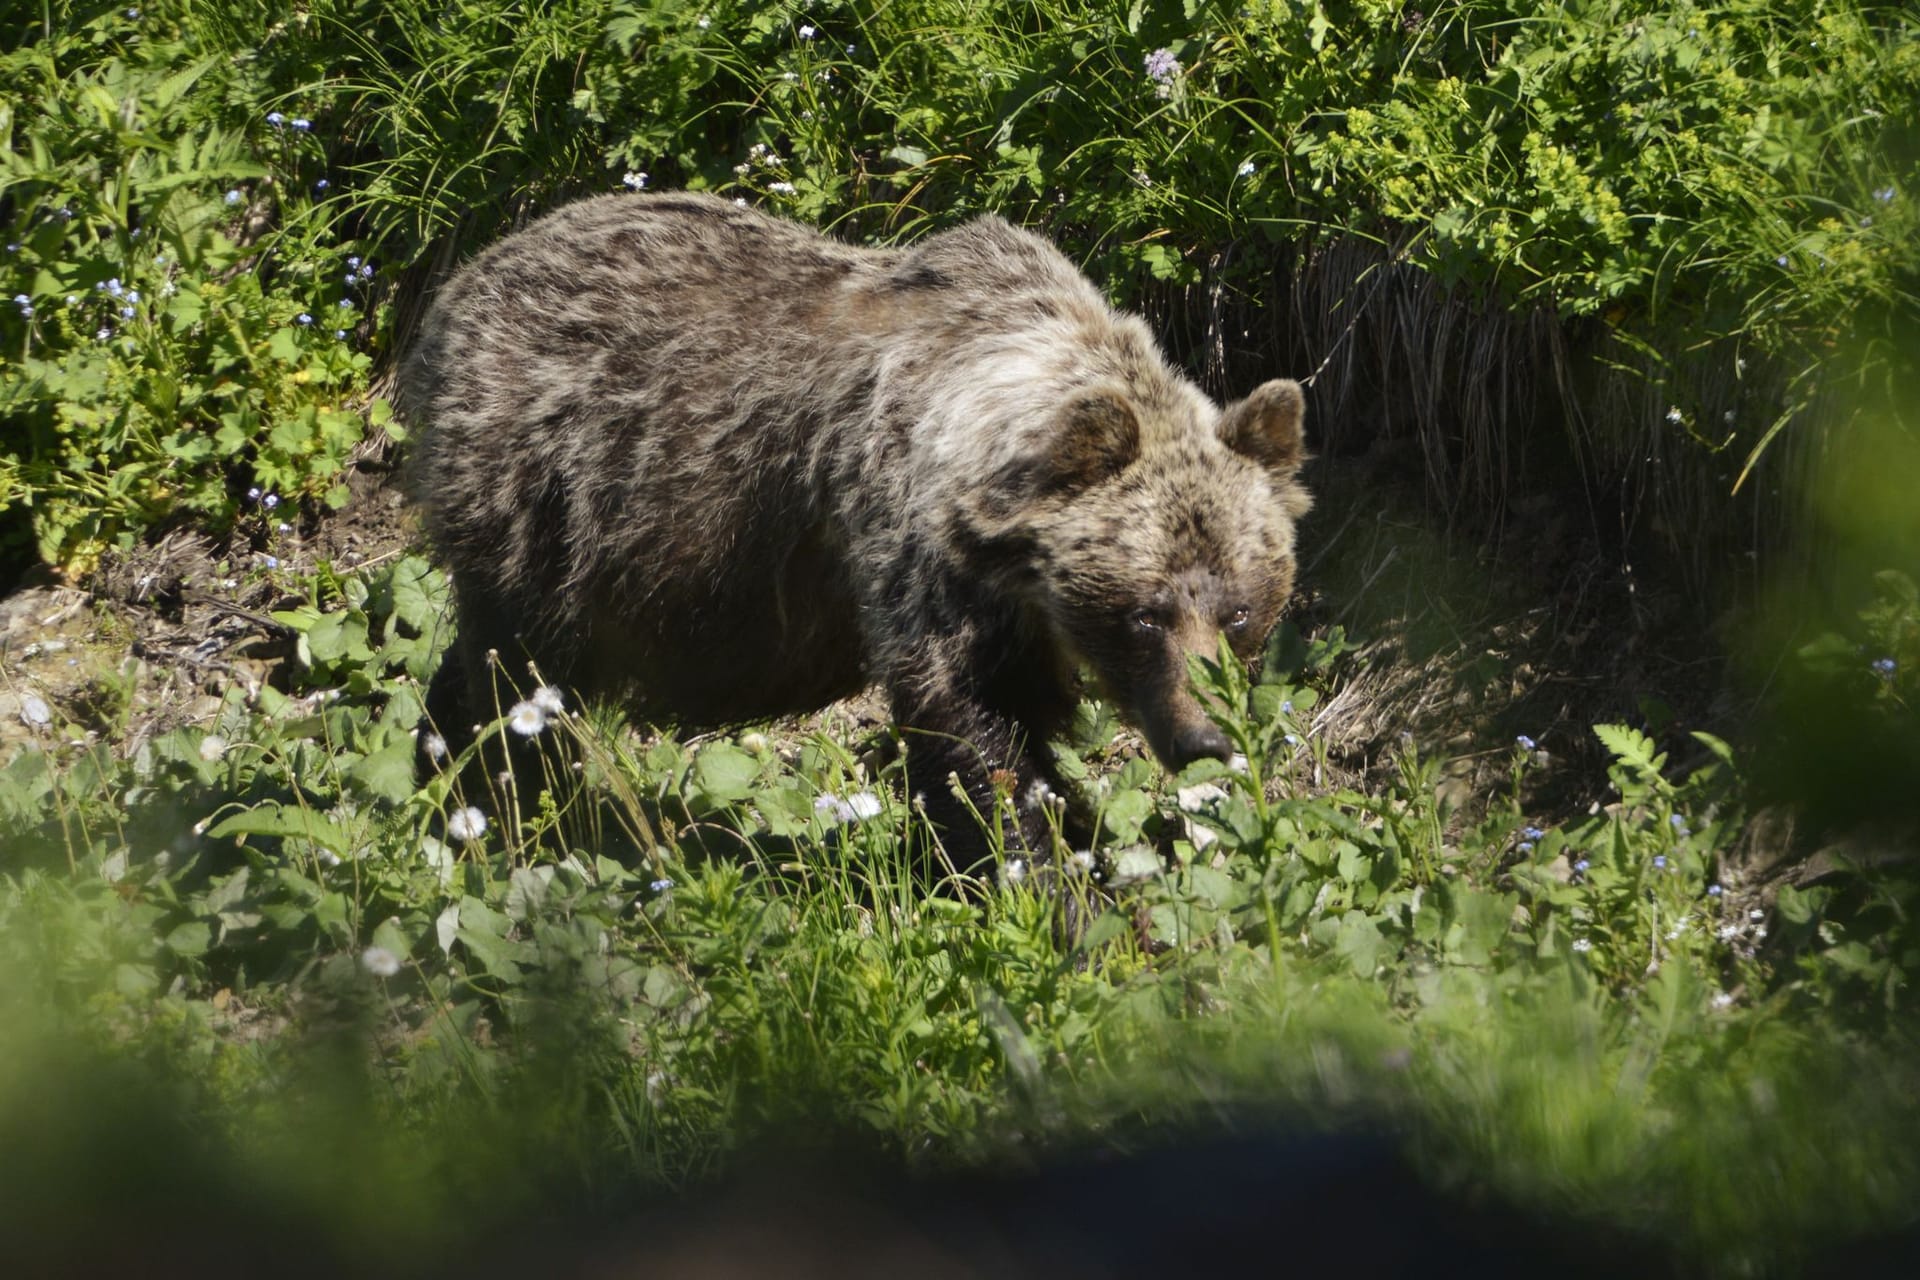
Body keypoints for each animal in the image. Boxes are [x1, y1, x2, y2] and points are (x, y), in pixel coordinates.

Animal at [397, 189, 1313, 871]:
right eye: (1145, 613)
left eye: (1239, 609)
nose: (1205, 737)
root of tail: (461, 282)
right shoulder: (915, 548)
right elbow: (975, 734)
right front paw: (1053, 882)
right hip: (549, 500)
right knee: (515, 676)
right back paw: (493, 806)